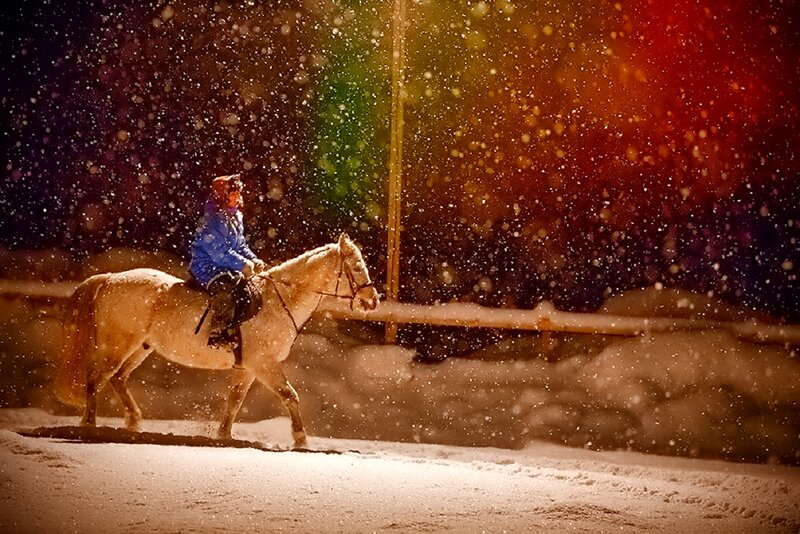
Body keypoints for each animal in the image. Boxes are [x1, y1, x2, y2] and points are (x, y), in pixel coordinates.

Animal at [53, 233, 379, 448]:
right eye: (355, 267)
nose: (372, 300)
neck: (277, 300)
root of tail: (109, 278)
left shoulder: (247, 368)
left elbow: (235, 402)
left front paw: (224, 434)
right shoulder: (263, 364)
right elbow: (290, 395)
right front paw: (300, 438)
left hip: (140, 348)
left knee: (117, 378)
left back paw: (133, 421)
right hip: (117, 344)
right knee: (95, 379)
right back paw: (90, 426)